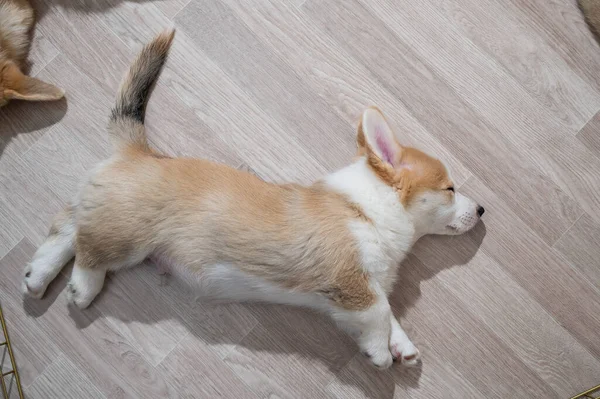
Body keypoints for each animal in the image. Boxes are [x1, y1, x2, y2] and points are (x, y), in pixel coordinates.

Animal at [22, 32, 488, 372]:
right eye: (449, 188)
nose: (483, 210)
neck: (366, 211)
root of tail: (138, 151)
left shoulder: (365, 285)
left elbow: (390, 313)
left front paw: (402, 347)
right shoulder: (353, 281)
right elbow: (377, 312)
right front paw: (379, 353)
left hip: (107, 215)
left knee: (68, 224)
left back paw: (37, 275)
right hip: (127, 235)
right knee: (87, 246)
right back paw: (82, 286)